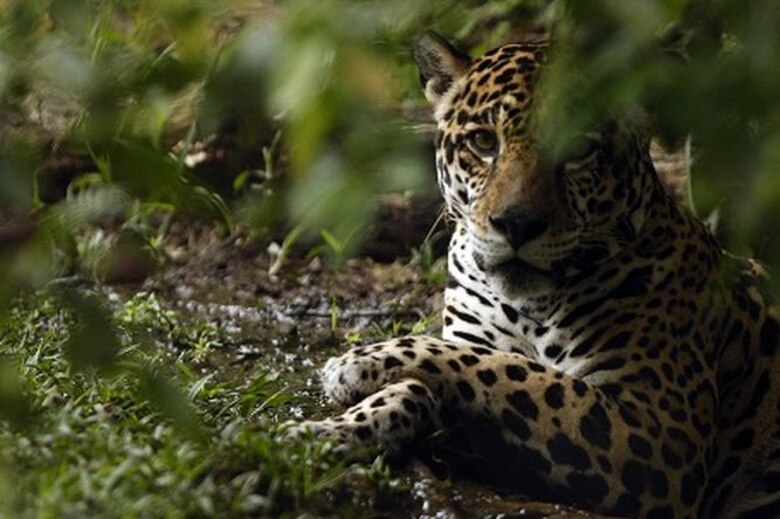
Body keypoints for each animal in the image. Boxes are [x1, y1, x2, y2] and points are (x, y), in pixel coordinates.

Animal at [287, 32, 780, 518]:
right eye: (484, 142)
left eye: (579, 149)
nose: (516, 224)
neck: (527, 305)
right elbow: (440, 378)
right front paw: (324, 433)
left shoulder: (662, 432)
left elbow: (517, 372)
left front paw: (358, 361)